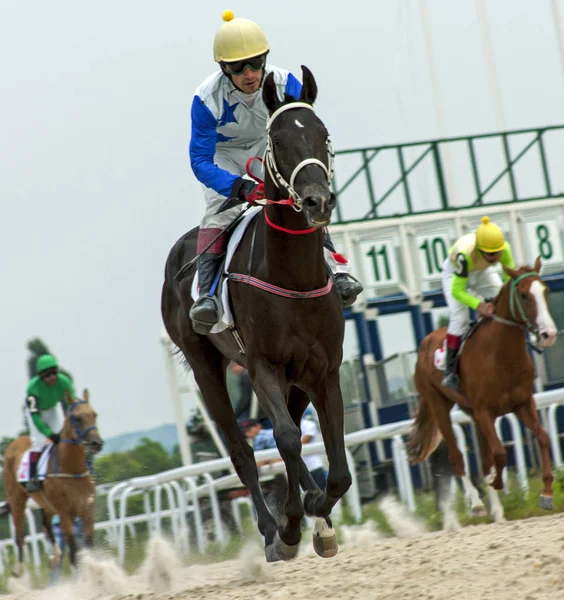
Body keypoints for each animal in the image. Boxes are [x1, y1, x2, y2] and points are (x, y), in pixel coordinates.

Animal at [3, 390, 103, 576]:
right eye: (77, 418)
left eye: (94, 414)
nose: (96, 443)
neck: (72, 471)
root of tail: (14, 443)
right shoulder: (65, 514)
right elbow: (74, 552)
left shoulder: (87, 510)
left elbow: (90, 547)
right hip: (16, 499)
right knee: (19, 534)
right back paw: (19, 569)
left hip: (46, 504)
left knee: (45, 524)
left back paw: (55, 555)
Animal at [161, 67, 350, 564]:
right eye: (278, 140)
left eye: (323, 134)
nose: (316, 202)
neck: (295, 278)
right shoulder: (261, 365)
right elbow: (283, 439)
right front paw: (289, 529)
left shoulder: (323, 369)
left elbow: (333, 463)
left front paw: (317, 511)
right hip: (207, 366)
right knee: (243, 450)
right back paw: (271, 529)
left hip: (293, 377)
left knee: (290, 435)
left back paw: (314, 513)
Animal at [408, 260, 556, 524]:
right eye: (524, 295)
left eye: (545, 291)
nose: (548, 334)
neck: (502, 355)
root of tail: (426, 342)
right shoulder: (484, 411)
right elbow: (500, 453)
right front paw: (495, 483)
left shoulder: (522, 404)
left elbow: (542, 438)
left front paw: (547, 493)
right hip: (439, 405)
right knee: (457, 456)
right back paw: (477, 504)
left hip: (473, 414)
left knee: (484, 459)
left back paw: (497, 511)